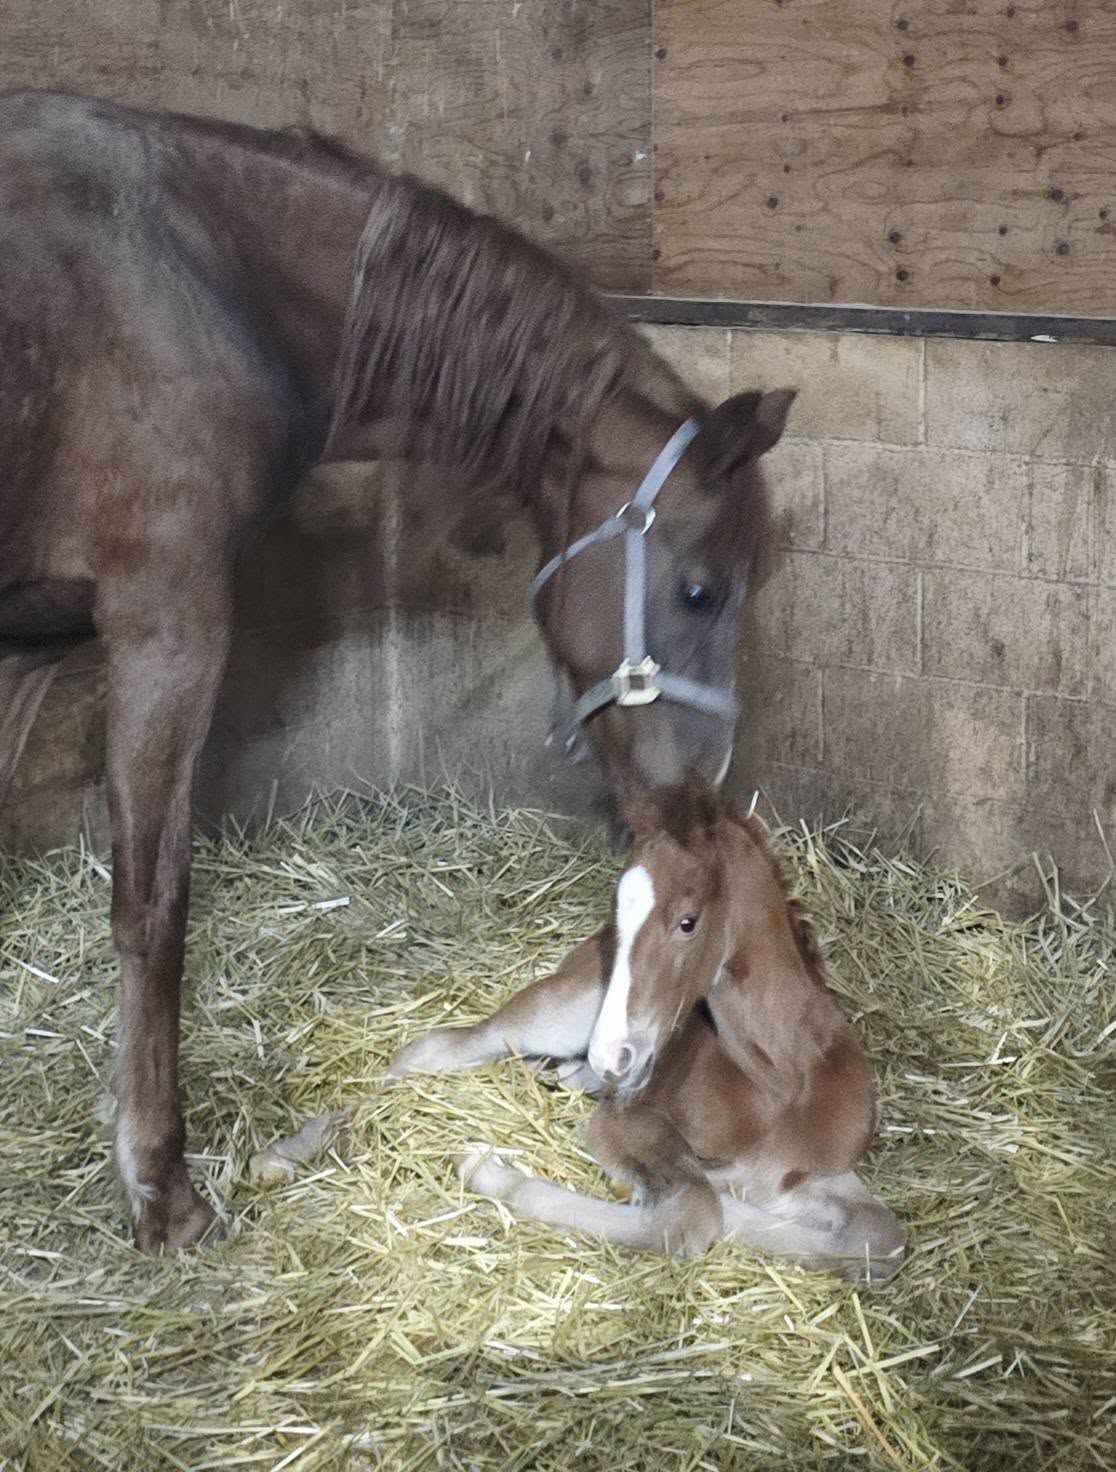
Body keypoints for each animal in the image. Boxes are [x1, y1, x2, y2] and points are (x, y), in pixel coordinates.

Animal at [0, 91, 795, 1253]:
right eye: (699, 591)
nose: (698, 798)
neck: (202, 274)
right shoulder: (166, 615)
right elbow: (153, 905)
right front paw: (161, 1185)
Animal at [390, 779, 905, 1281]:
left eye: (687, 923)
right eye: (618, 915)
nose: (611, 1056)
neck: (776, 1084)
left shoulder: (816, 1173)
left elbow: (880, 1236)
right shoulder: (628, 1122)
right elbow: (695, 1212)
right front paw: (485, 1167)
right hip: (560, 1015)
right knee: (436, 1048)